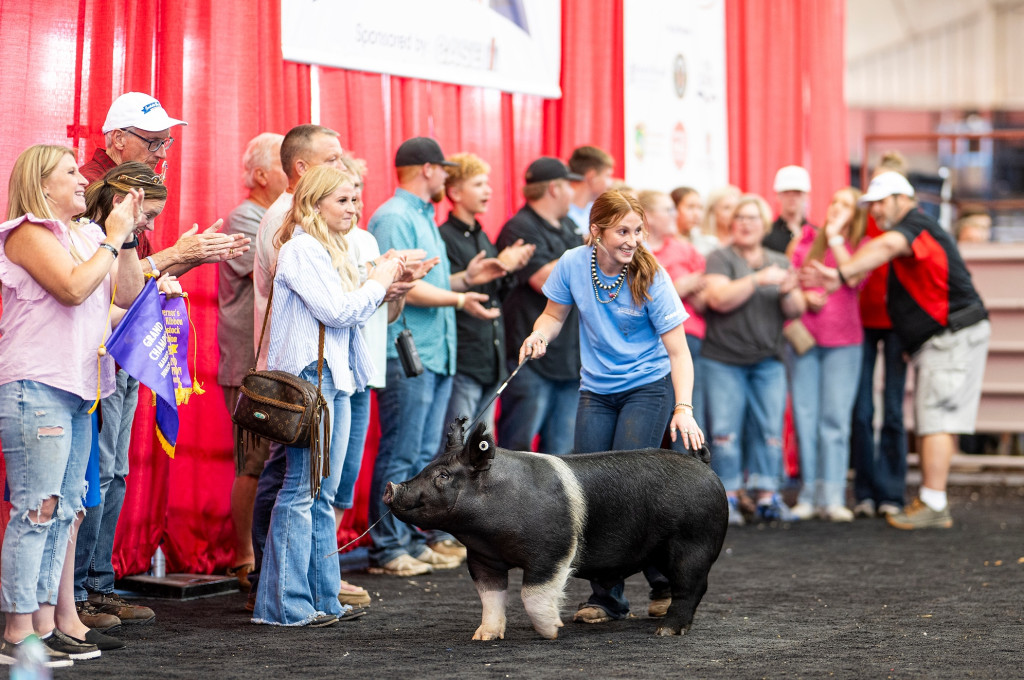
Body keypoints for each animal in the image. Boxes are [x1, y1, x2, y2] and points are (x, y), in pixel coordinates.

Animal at [385, 417, 729, 639]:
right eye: (427, 468)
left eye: (443, 476)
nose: (390, 487)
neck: (485, 532)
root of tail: (705, 467)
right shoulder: (482, 557)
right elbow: (491, 597)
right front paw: (483, 636)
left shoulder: (551, 550)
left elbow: (531, 594)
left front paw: (552, 631)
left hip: (694, 543)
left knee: (692, 587)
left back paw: (666, 631)